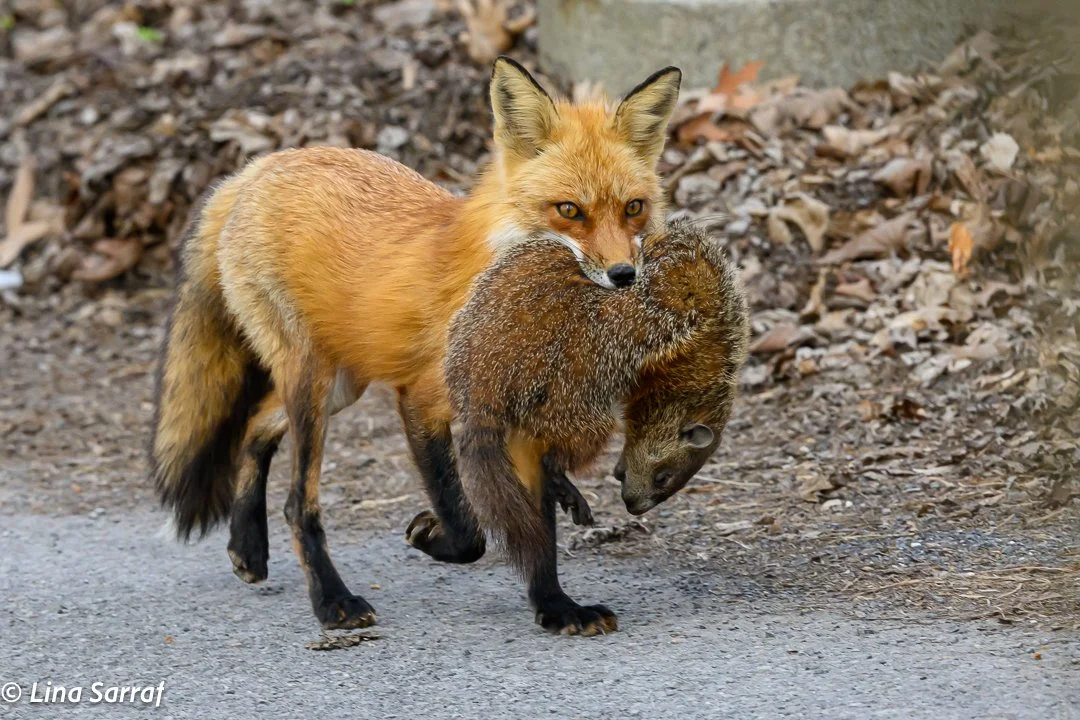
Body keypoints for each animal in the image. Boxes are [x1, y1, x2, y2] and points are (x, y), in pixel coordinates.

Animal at [149, 57, 683, 632]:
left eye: (633, 208)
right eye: (568, 210)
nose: (624, 275)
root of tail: (258, 167)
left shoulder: (520, 418)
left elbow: (538, 531)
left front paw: (556, 607)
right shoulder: (423, 400)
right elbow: (468, 528)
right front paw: (434, 537)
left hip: (341, 384)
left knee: (253, 426)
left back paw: (247, 547)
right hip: (314, 381)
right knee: (297, 501)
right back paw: (332, 600)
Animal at [441, 220, 749, 635]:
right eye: (664, 477)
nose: (634, 508)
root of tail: (482, 387)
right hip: (582, 387)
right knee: (565, 439)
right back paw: (567, 490)